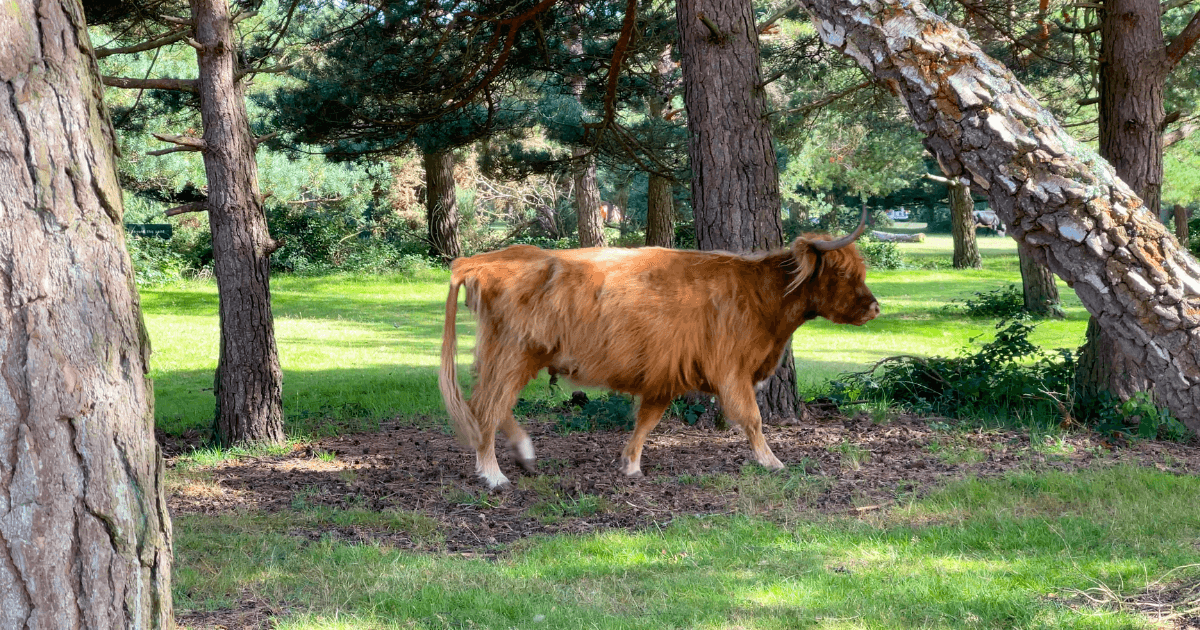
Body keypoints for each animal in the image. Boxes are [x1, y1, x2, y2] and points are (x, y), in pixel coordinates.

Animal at [436, 211, 878, 487]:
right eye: (842, 272)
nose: (875, 307)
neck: (762, 296)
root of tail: (482, 261)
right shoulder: (731, 369)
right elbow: (751, 419)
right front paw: (772, 462)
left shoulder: (665, 373)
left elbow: (646, 421)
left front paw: (630, 465)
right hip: (513, 353)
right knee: (487, 407)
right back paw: (493, 474)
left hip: (508, 355)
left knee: (492, 406)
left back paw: (523, 454)